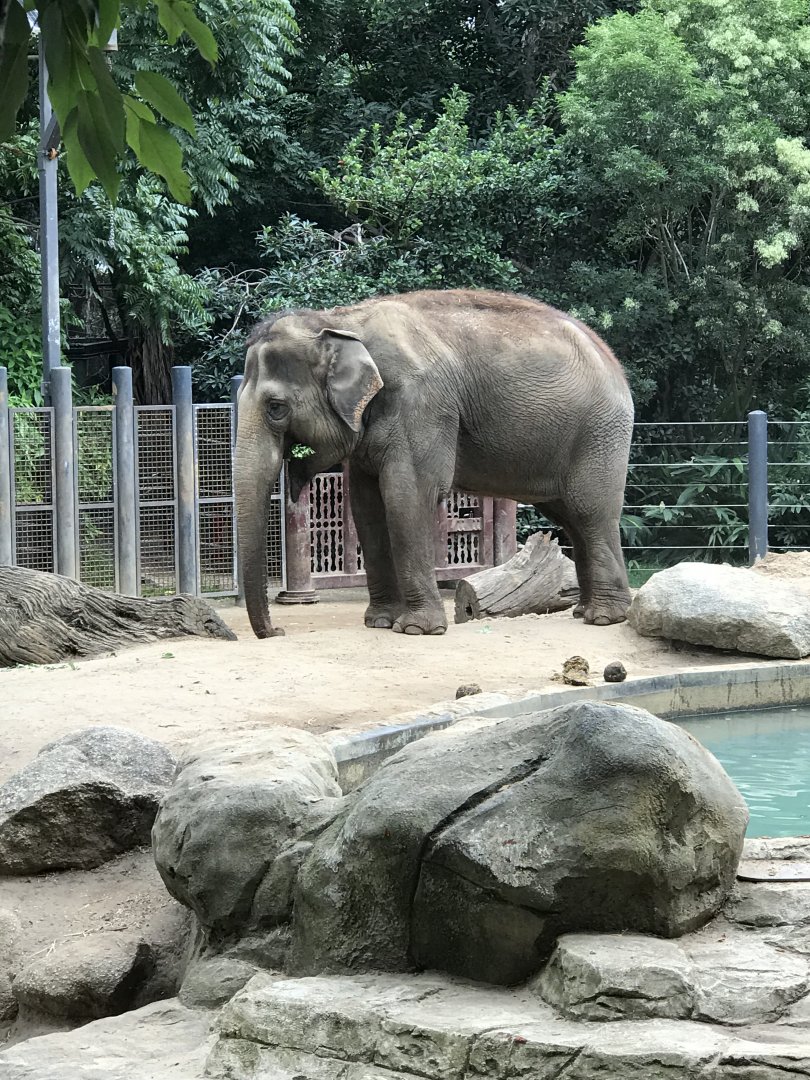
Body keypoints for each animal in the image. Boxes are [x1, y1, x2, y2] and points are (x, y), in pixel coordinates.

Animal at [235, 289, 634, 639]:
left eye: (276, 408)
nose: (276, 631)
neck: (340, 320)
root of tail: (612, 359)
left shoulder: (422, 404)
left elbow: (407, 496)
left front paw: (416, 629)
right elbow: (367, 506)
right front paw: (379, 623)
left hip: (600, 433)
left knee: (590, 512)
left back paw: (603, 618)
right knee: (570, 518)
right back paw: (584, 611)